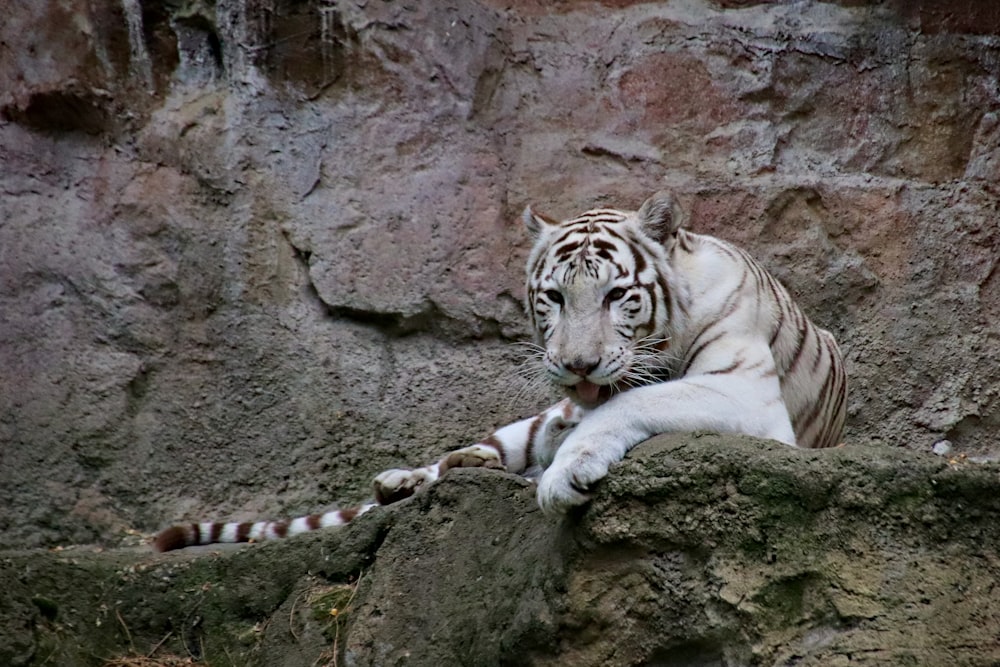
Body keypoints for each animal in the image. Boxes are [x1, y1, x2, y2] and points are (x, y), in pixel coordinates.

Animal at [154, 189, 844, 552]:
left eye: (618, 295)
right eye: (556, 296)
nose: (577, 364)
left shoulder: (746, 394)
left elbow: (634, 402)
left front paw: (565, 473)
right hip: (525, 421)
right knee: (479, 452)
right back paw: (413, 478)